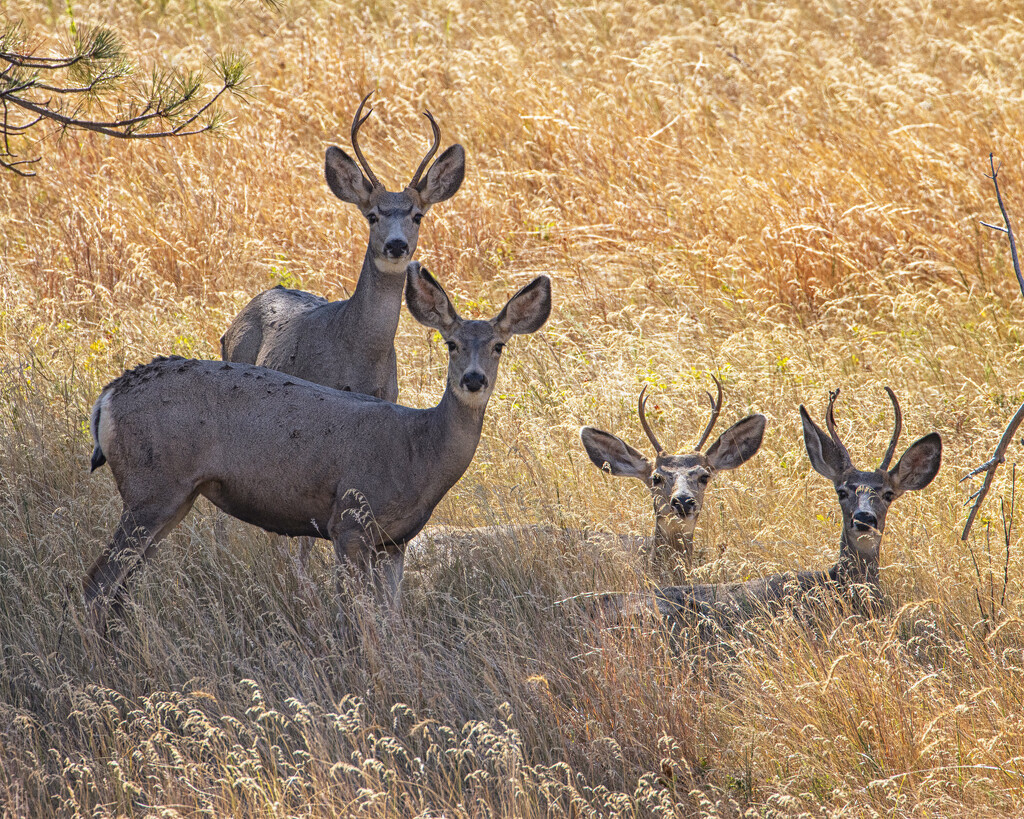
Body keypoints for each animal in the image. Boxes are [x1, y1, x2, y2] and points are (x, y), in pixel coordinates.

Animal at [84, 262, 552, 634]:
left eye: (499, 346)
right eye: (451, 344)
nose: (473, 379)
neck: (416, 450)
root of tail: (106, 398)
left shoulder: (395, 542)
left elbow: (391, 619)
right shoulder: (347, 521)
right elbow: (352, 618)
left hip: (172, 498)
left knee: (123, 583)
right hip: (151, 487)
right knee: (97, 582)